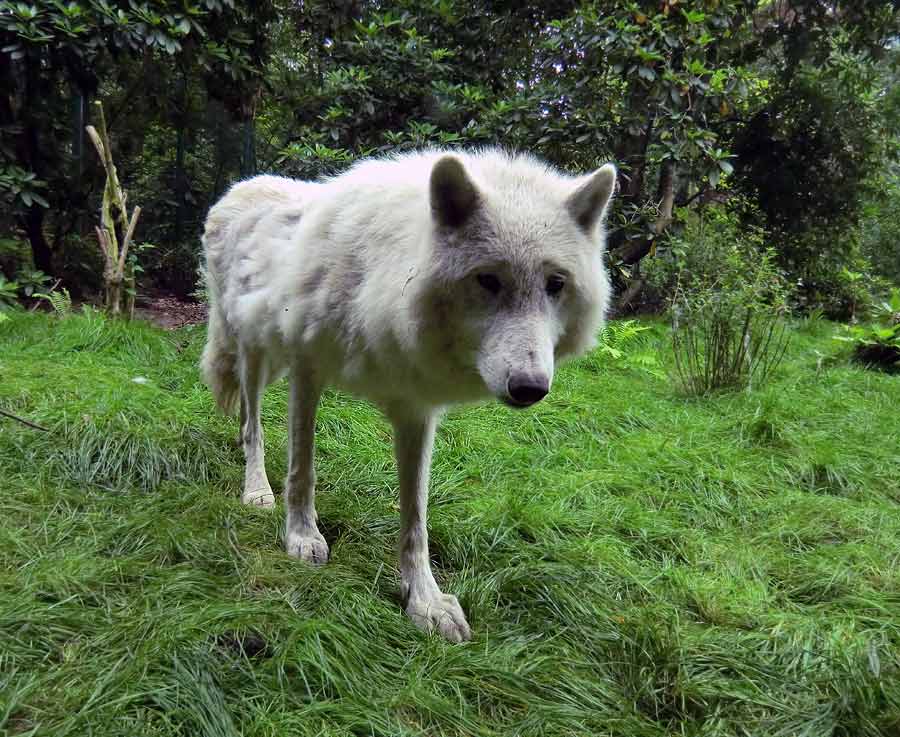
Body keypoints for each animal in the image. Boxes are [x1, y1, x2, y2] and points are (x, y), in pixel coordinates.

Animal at [200, 148, 616, 640]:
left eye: (555, 284)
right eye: (488, 280)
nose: (530, 388)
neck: (381, 277)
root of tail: (241, 185)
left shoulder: (416, 409)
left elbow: (416, 518)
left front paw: (424, 600)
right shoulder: (308, 369)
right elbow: (302, 469)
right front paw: (301, 537)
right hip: (253, 355)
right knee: (252, 425)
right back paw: (258, 490)